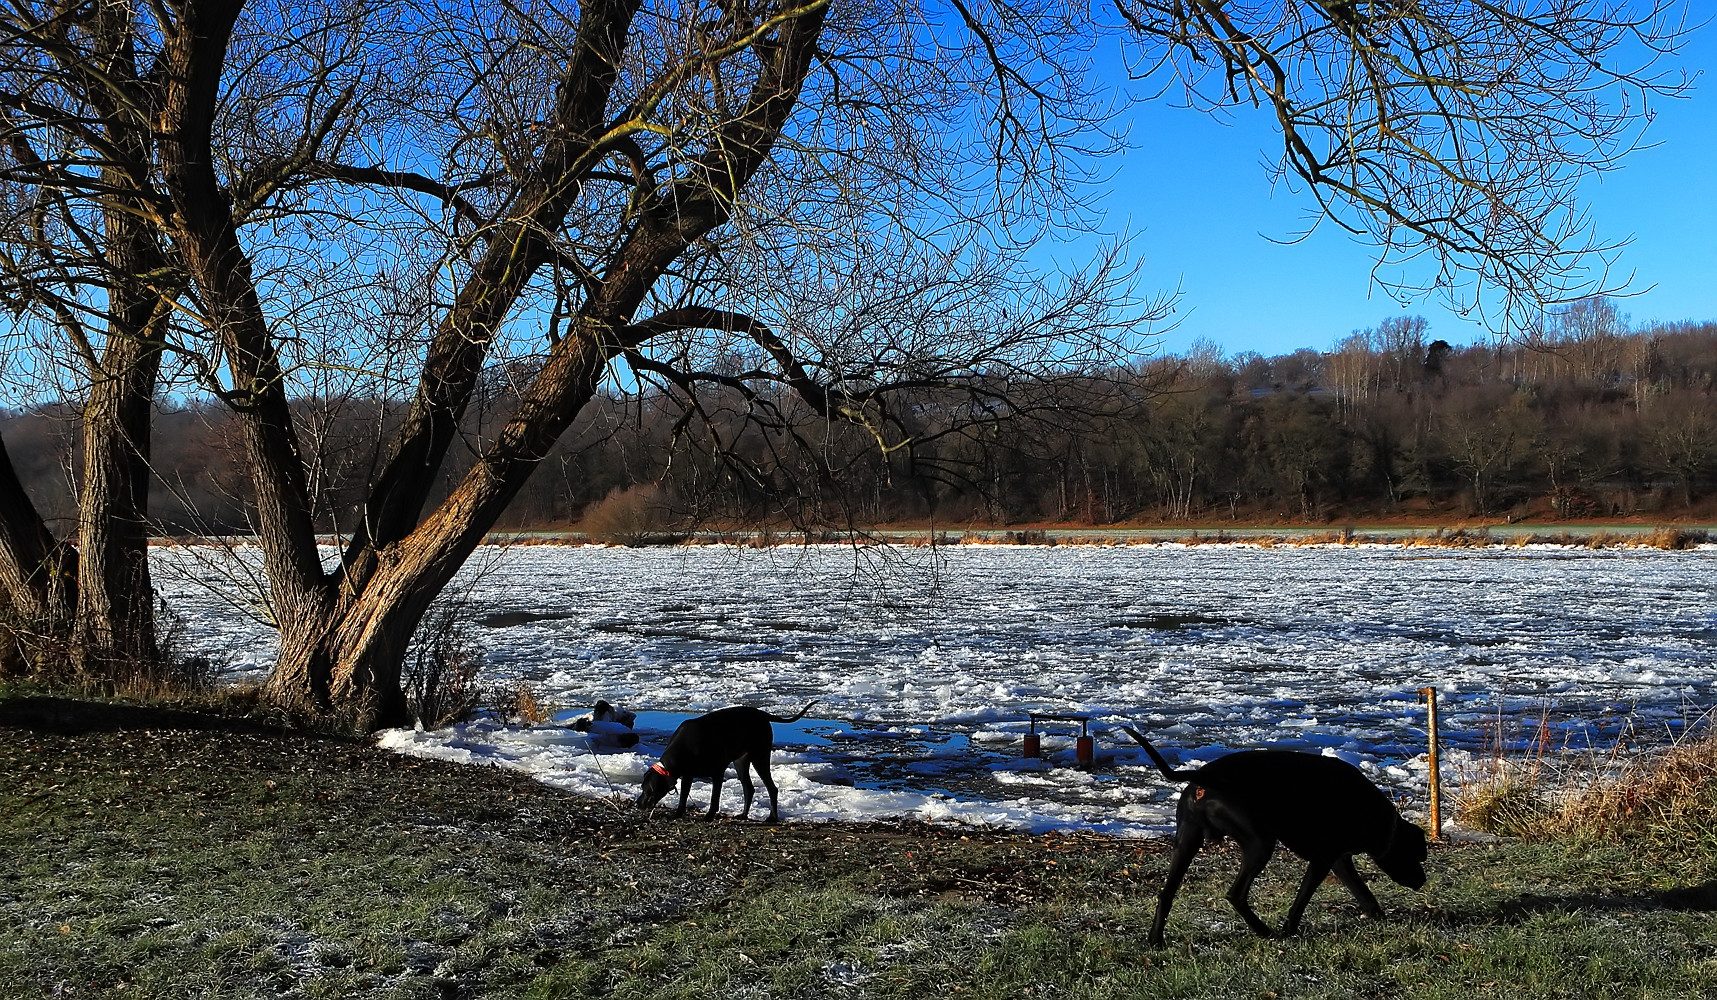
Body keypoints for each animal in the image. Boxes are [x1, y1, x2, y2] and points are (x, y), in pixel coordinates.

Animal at [638, 704, 817, 824]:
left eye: (648, 790)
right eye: (642, 788)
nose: (638, 803)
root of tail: (762, 714)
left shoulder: (717, 772)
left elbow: (714, 798)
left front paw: (709, 816)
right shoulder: (687, 776)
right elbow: (683, 797)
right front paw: (677, 814)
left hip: (760, 757)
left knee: (772, 788)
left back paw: (772, 817)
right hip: (741, 762)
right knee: (749, 788)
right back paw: (744, 815)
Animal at [1119, 728, 1428, 948]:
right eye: (1415, 853)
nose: (1422, 881)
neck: (1371, 812)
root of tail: (1205, 776)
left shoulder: (1339, 860)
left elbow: (1364, 894)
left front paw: (1379, 917)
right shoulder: (1323, 858)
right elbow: (1301, 900)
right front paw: (1289, 931)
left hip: (1187, 841)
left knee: (1166, 893)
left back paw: (1156, 941)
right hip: (1260, 843)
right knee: (1235, 894)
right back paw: (1264, 932)